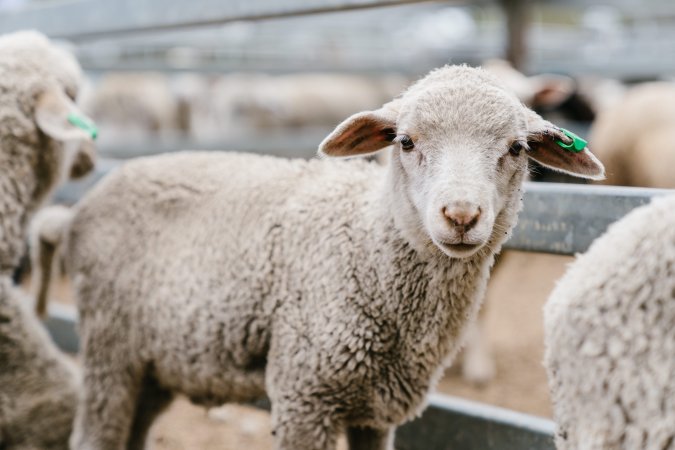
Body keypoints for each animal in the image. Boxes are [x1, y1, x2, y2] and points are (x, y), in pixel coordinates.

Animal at [42, 64, 604, 450]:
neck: (366, 247)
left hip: (153, 362)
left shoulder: (376, 410)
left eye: (517, 149)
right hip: (109, 347)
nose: (461, 214)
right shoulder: (301, 393)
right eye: (405, 142)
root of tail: (79, 210)